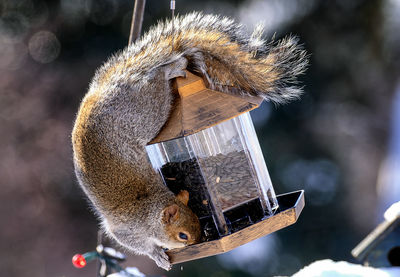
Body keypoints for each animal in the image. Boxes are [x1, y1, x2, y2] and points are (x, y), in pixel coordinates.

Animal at [70, 11, 308, 268]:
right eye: (182, 235)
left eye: (197, 220)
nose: (197, 242)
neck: (151, 210)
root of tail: (112, 85)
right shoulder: (128, 232)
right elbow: (140, 245)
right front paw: (158, 255)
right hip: (148, 111)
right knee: (156, 81)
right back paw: (172, 67)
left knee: (157, 77)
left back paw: (174, 67)